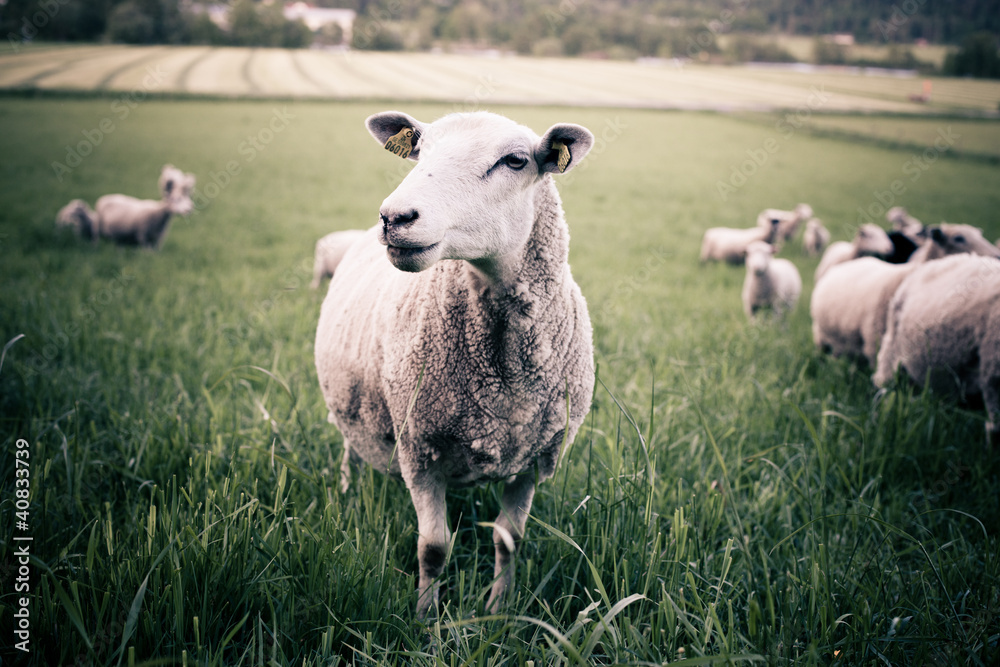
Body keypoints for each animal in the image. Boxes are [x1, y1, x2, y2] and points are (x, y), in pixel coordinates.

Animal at [314, 110, 596, 618]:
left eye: (515, 161)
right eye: (420, 152)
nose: (394, 217)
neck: (505, 375)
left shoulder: (533, 460)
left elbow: (509, 540)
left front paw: (499, 611)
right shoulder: (419, 449)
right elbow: (433, 548)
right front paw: (425, 618)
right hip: (350, 401)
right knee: (349, 443)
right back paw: (347, 488)